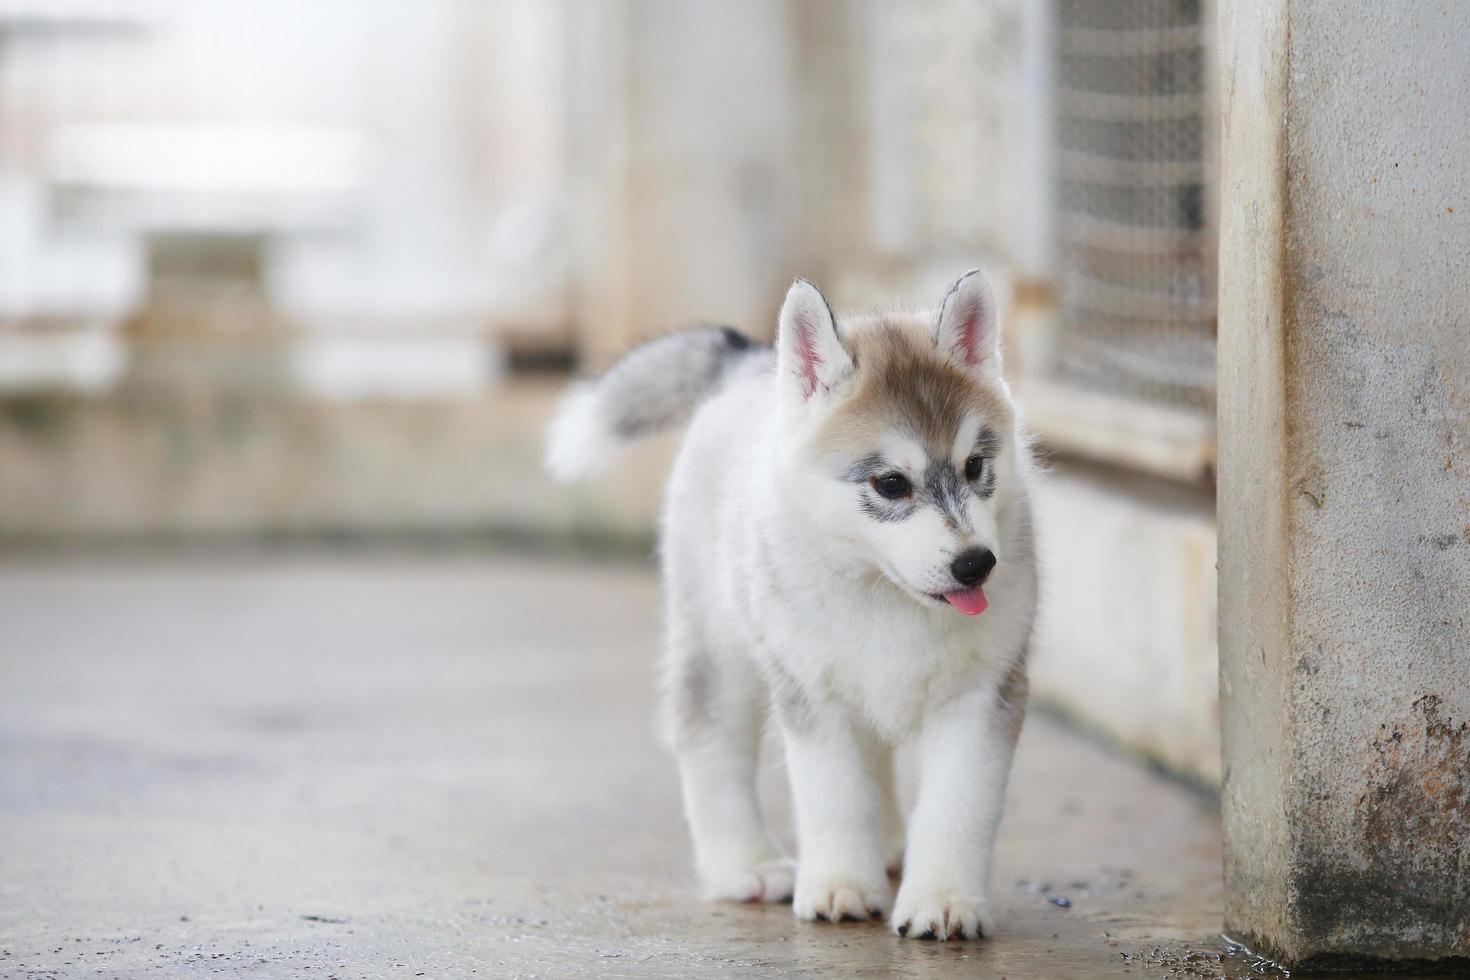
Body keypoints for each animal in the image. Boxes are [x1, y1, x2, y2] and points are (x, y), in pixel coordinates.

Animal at [546, 270, 1040, 940]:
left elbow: (958, 808)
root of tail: (751, 363)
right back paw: (745, 866)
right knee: (709, 743)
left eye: (975, 465)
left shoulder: (983, 697)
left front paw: (943, 901)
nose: (975, 564)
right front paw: (840, 885)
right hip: (718, 646)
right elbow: (833, 797)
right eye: (891, 484)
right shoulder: (812, 693)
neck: (884, 593)